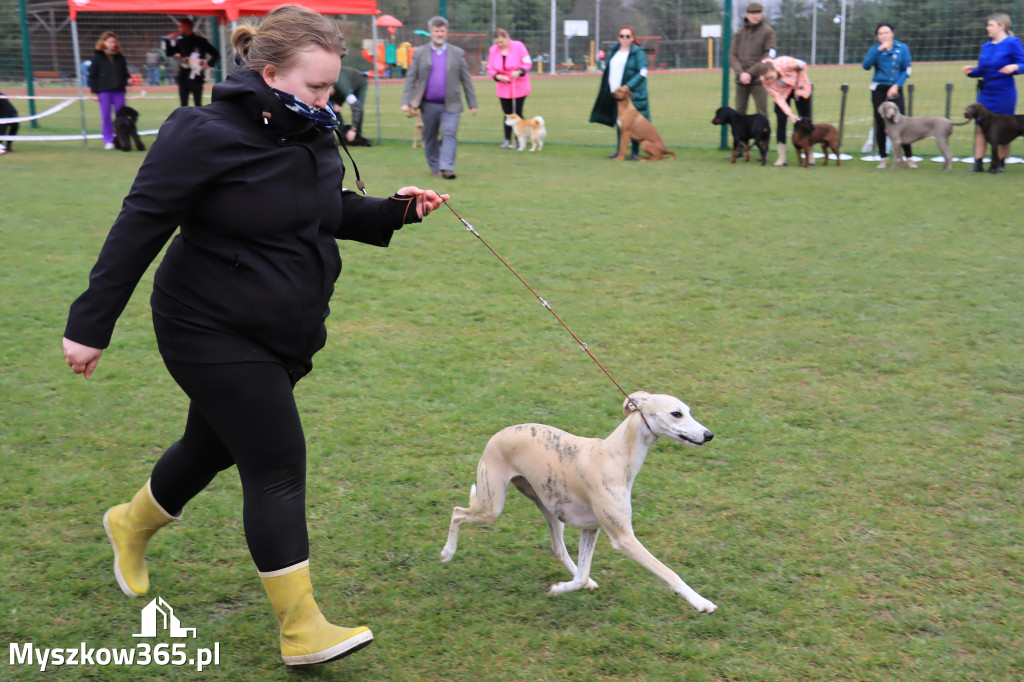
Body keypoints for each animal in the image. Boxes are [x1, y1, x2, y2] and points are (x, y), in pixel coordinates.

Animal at [440, 391, 720, 614]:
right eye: (676, 413)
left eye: (688, 411)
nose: (709, 435)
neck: (616, 456)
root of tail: (498, 433)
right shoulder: (623, 537)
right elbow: (668, 572)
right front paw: (701, 602)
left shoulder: (591, 528)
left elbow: (583, 576)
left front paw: (559, 588)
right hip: (492, 505)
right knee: (457, 512)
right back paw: (447, 552)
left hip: (549, 508)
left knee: (558, 548)